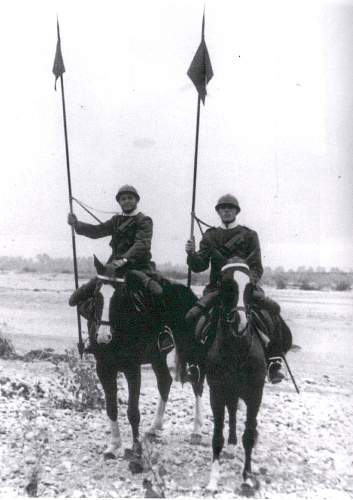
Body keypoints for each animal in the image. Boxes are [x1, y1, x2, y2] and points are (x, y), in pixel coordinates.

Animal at [88, 258, 205, 464]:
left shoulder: (132, 369)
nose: (103, 337)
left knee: (197, 383)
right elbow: (111, 409)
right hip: (157, 357)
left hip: (190, 350)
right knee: (165, 381)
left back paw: (196, 431)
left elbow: (133, 412)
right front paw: (114, 446)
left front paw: (135, 448)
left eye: (119, 296)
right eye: (96, 294)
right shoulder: (103, 369)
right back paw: (154, 427)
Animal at [204, 262, 292, 492]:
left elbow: (249, 435)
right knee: (233, 414)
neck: (237, 347)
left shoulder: (254, 395)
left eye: (251, 288)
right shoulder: (217, 393)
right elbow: (217, 435)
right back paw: (231, 445)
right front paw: (213, 479)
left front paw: (247, 476)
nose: (241, 323)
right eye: (227, 285)